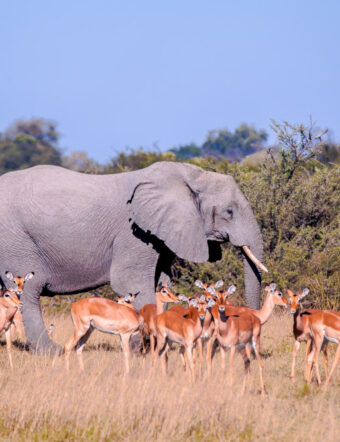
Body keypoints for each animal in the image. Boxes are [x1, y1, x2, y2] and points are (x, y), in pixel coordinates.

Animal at [0, 161, 266, 354]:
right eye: (229, 212)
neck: (190, 175)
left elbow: (162, 284)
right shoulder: (134, 233)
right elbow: (131, 283)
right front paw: (145, 348)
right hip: (15, 240)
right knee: (29, 290)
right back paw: (52, 351)